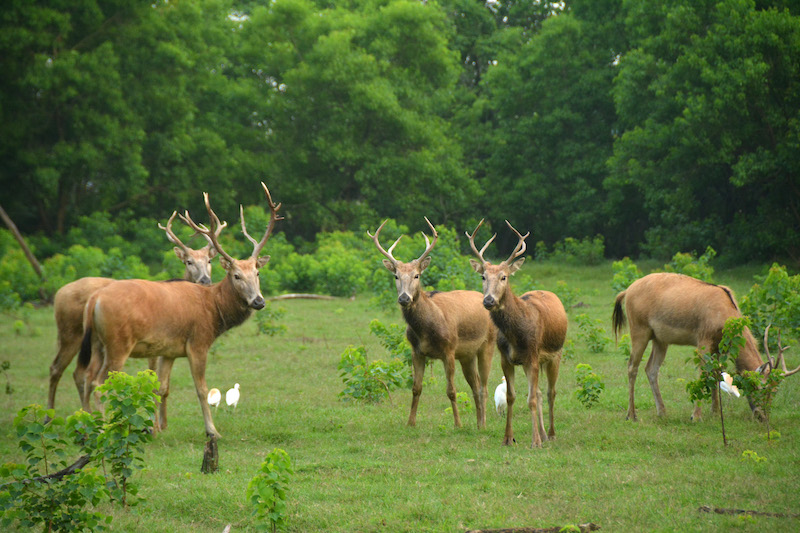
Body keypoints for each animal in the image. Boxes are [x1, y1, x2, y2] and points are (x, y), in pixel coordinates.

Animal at [45, 212, 227, 416]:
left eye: (209, 261)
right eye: (189, 262)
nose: (205, 280)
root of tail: (58, 294)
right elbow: (156, 381)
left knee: (78, 372)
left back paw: (86, 414)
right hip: (70, 334)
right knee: (58, 368)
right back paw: (50, 415)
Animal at [75, 183, 282, 436]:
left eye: (257, 273)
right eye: (236, 275)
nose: (258, 301)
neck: (214, 311)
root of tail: (94, 299)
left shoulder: (169, 350)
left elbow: (161, 387)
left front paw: (157, 428)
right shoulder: (198, 342)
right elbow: (201, 389)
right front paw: (212, 431)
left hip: (97, 343)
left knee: (87, 377)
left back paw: (88, 425)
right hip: (118, 343)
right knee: (99, 383)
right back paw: (106, 428)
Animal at [368, 216, 494, 428]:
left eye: (416, 275)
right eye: (396, 276)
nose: (404, 298)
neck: (425, 330)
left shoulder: (449, 350)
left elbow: (451, 390)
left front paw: (458, 424)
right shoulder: (417, 352)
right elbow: (416, 388)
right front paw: (410, 422)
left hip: (487, 344)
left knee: (483, 386)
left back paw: (483, 424)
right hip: (467, 355)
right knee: (475, 384)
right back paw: (478, 423)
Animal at [462, 218, 568, 446]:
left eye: (504, 277)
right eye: (483, 276)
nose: (488, 300)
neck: (516, 335)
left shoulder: (533, 356)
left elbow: (531, 399)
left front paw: (535, 442)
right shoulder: (506, 358)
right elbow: (512, 397)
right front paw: (508, 438)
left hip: (556, 353)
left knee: (550, 392)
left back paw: (551, 434)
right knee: (539, 392)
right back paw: (544, 433)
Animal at [612, 272, 800, 422]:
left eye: (775, 391)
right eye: (760, 387)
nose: (762, 416)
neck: (725, 319)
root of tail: (626, 292)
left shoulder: (719, 347)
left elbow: (717, 373)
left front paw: (715, 413)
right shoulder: (703, 339)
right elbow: (703, 374)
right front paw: (696, 416)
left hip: (660, 339)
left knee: (651, 368)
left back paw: (662, 412)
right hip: (639, 329)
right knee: (632, 366)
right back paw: (631, 415)